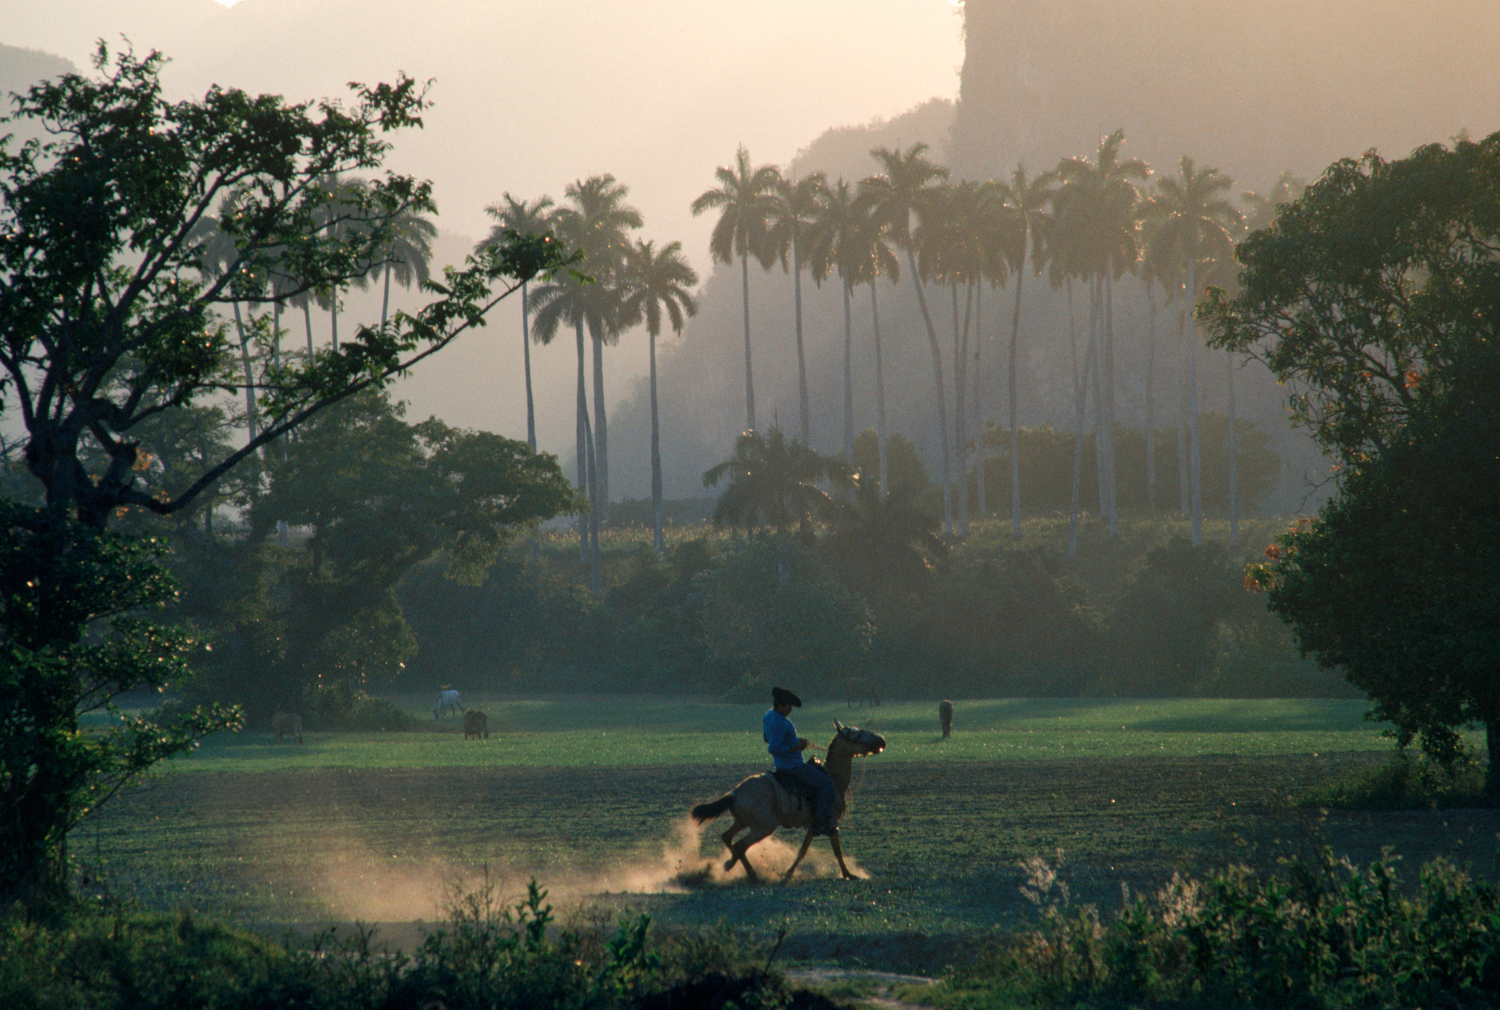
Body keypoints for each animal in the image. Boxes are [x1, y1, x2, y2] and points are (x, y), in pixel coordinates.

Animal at [693, 717, 888, 882]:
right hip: (764, 826)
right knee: (740, 845)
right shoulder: (829, 821)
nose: (882, 741)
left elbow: (803, 850)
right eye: (858, 734)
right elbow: (833, 851)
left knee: (727, 837)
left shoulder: (814, 824)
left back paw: (728, 864)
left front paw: (788, 874)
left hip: (743, 821)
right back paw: (754, 877)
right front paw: (848, 874)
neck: (832, 777)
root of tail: (734, 793)